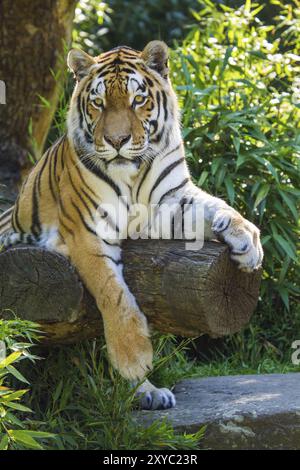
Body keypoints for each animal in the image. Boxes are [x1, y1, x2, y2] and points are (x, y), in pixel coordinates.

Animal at [0, 39, 262, 408]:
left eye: (138, 100)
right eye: (98, 103)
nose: (117, 141)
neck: (134, 172)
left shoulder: (171, 202)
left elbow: (217, 207)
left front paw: (248, 243)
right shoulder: (88, 231)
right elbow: (115, 294)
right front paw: (134, 358)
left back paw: (149, 394)